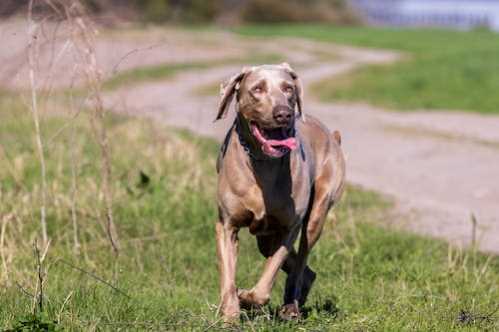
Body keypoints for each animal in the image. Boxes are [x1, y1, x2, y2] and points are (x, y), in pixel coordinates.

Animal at [213, 62, 346, 322]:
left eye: (288, 88)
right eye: (257, 89)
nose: (283, 113)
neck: (263, 163)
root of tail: (331, 136)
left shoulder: (289, 228)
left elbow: (265, 284)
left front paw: (247, 298)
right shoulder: (226, 225)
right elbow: (228, 275)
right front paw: (231, 313)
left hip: (317, 213)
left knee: (302, 261)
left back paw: (291, 306)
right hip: (265, 238)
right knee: (303, 270)